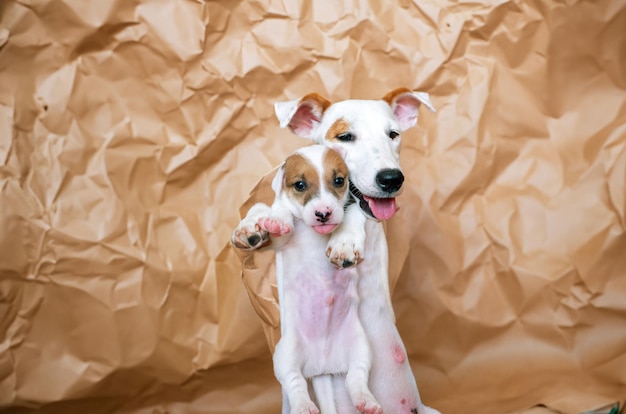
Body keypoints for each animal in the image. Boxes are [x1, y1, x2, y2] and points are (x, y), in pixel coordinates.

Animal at [233, 145, 378, 414]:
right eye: (300, 185)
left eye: (339, 181)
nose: (324, 213)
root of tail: (322, 368)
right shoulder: (279, 240)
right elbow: (269, 210)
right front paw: (275, 220)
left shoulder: (352, 209)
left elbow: (353, 212)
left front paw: (345, 241)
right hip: (285, 355)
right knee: (295, 382)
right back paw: (303, 405)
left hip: (361, 348)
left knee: (356, 378)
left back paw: (366, 400)